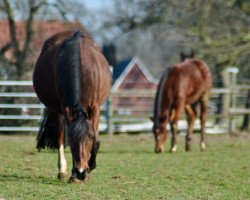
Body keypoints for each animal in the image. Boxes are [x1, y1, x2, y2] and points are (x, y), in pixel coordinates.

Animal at [33, 30, 111, 183]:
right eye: (73, 141)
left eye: (89, 137)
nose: (81, 171)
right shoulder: (65, 108)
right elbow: (66, 137)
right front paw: (74, 174)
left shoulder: (95, 107)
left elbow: (97, 139)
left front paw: (90, 167)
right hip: (54, 110)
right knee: (60, 136)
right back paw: (63, 171)